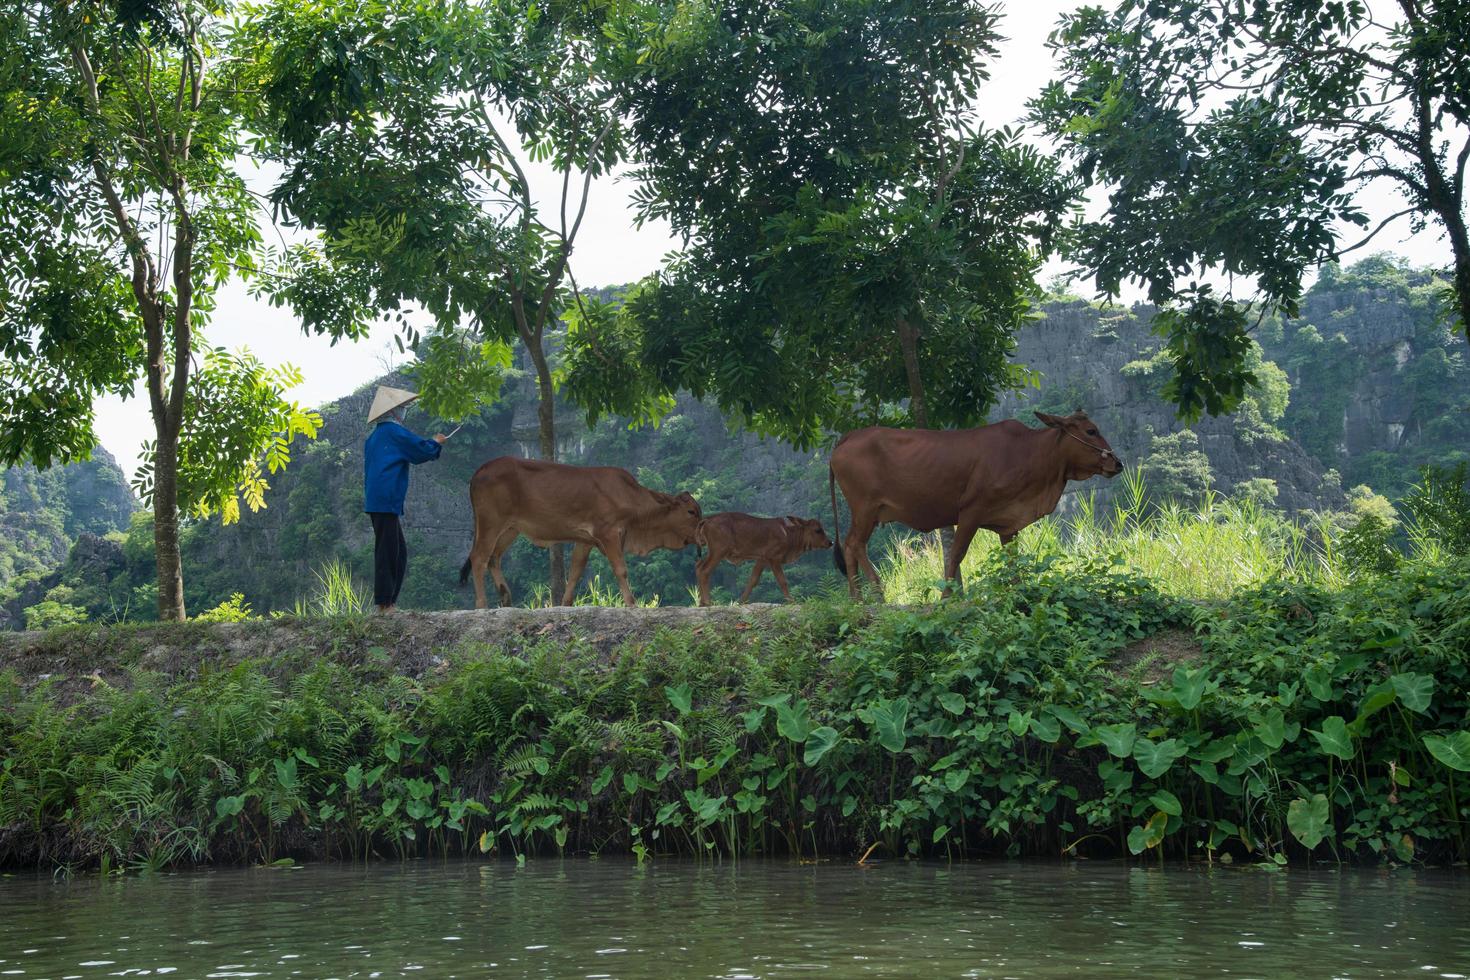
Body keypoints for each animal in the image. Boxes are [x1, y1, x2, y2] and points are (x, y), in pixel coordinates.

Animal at [461, 458, 702, 608]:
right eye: (691, 511)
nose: (702, 533)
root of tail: (480, 471)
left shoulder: (585, 540)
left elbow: (575, 573)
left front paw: (566, 604)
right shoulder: (609, 533)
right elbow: (621, 569)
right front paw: (632, 603)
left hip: (510, 529)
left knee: (494, 558)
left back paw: (506, 598)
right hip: (491, 523)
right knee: (479, 558)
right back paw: (482, 605)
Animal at [693, 514, 834, 605]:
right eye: (818, 530)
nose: (830, 542)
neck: (789, 534)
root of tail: (707, 519)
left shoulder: (762, 560)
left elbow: (753, 580)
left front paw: (741, 601)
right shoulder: (774, 558)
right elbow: (782, 581)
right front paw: (792, 601)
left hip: (714, 552)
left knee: (698, 567)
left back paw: (702, 602)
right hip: (718, 551)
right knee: (704, 570)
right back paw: (708, 602)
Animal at [829, 411, 1123, 602]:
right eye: (1091, 431)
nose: (1117, 463)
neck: (1030, 454)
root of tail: (848, 437)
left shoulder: (1009, 523)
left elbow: (1012, 559)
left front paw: (1018, 590)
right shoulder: (971, 511)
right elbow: (956, 554)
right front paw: (946, 597)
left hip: (867, 512)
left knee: (851, 544)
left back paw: (857, 600)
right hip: (865, 507)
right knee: (854, 543)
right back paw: (874, 595)